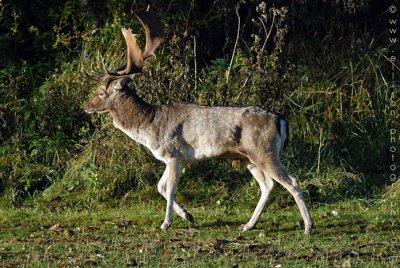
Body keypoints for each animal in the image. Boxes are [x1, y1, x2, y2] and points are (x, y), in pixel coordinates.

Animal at [85, 6, 312, 234]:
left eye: (101, 92)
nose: (87, 106)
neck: (151, 125)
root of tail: (281, 120)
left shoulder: (175, 154)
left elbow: (170, 188)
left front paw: (166, 223)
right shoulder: (172, 158)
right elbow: (160, 186)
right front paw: (188, 215)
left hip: (265, 151)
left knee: (291, 181)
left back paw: (308, 226)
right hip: (250, 158)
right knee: (268, 185)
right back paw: (248, 225)